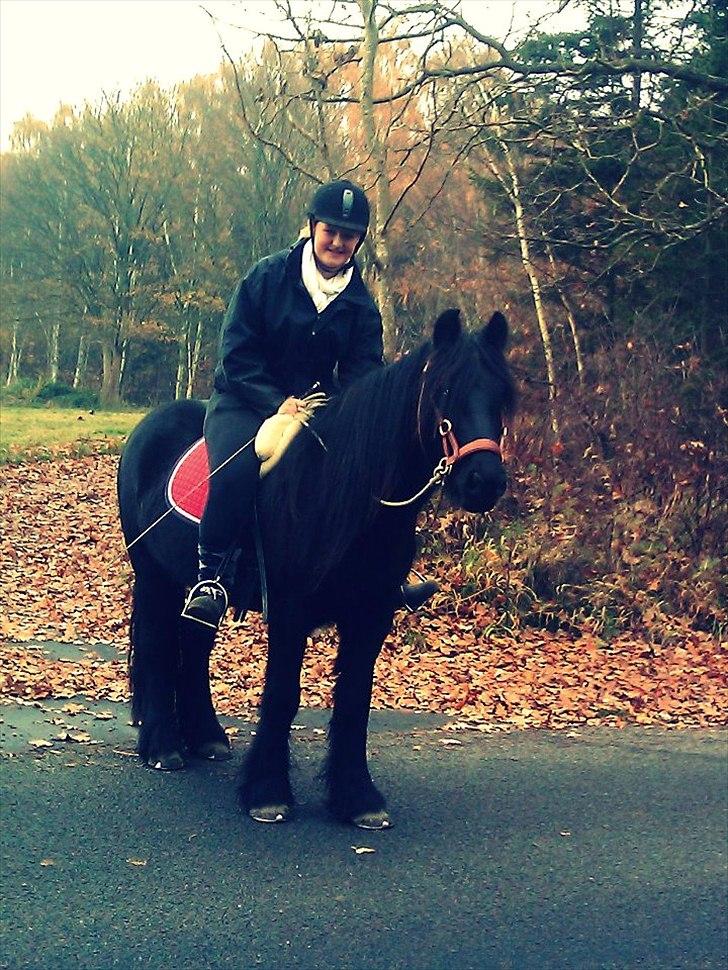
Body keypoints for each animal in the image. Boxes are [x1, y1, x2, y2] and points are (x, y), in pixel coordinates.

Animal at [117, 308, 515, 829]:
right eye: (444, 391)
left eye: (502, 396)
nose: (483, 481)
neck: (339, 491)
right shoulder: (291, 612)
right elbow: (283, 694)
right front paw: (267, 791)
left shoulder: (371, 616)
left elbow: (354, 701)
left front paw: (357, 797)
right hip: (153, 577)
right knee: (156, 645)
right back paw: (164, 746)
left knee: (194, 643)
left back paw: (206, 737)